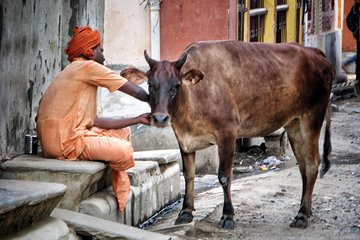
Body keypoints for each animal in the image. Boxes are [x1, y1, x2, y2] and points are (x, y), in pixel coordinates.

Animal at [122, 40, 334, 229]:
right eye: (150, 84)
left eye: (176, 85)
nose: (160, 118)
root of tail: (315, 52)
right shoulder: (184, 139)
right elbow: (188, 174)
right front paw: (185, 212)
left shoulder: (227, 133)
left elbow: (224, 176)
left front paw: (228, 216)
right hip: (294, 124)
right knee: (303, 166)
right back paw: (305, 211)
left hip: (312, 118)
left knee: (313, 164)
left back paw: (302, 215)